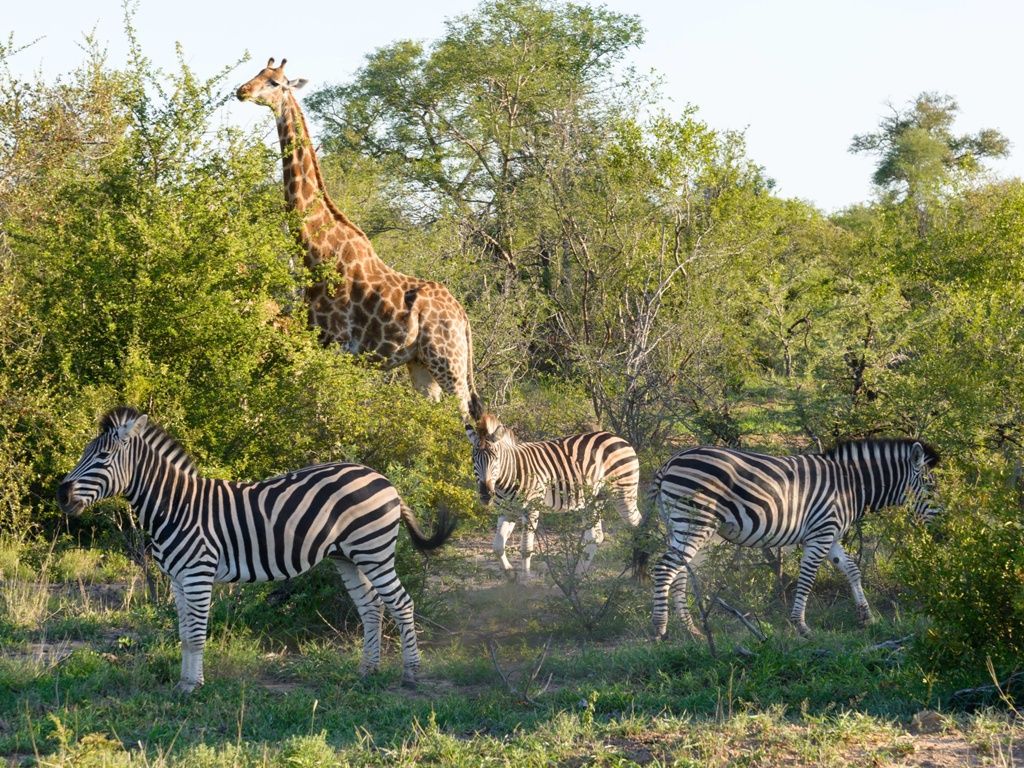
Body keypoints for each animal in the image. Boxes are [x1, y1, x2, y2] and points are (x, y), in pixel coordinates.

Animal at [58, 405, 454, 696]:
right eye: (85, 453)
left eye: (103, 457)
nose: (61, 494)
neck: (176, 506)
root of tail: (385, 480)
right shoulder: (177, 579)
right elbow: (184, 634)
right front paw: (185, 682)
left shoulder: (198, 574)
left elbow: (197, 635)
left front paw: (194, 687)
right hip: (347, 557)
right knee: (371, 607)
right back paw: (367, 670)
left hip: (374, 551)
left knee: (401, 603)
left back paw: (410, 674)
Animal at [237, 58, 481, 421]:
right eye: (256, 74)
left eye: (275, 83)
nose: (242, 91)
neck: (314, 248)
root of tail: (463, 317)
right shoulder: (318, 342)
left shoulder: (336, 344)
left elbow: (324, 414)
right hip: (420, 365)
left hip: (448, 361)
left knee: (469, 418)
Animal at [466, 415, 638, 581]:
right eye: (474, 459)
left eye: (496, 459)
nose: (485, 494)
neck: (510, 474)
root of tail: (617, 438)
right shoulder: (507, 511)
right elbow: (497, 546)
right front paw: (510, 573)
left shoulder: (531, 509)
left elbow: (526, 548)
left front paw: (525, 580)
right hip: (595, 499)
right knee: (595, 537)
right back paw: (577, 576)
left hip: (624, 493)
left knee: (637, 524)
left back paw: (637, 572)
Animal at [651, 438, 937, 638]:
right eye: (931, 487)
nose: (942, 530)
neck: (850, 485)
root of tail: (670, 461)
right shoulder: (820, 533)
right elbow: (808, 577)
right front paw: (800, 625)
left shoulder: (830, 535)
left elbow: (852, 570)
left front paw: (867, 617)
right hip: (695, 521)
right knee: (664, 569)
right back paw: (659, 628)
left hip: (681, 525)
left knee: (680, 572)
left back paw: (691, 630)